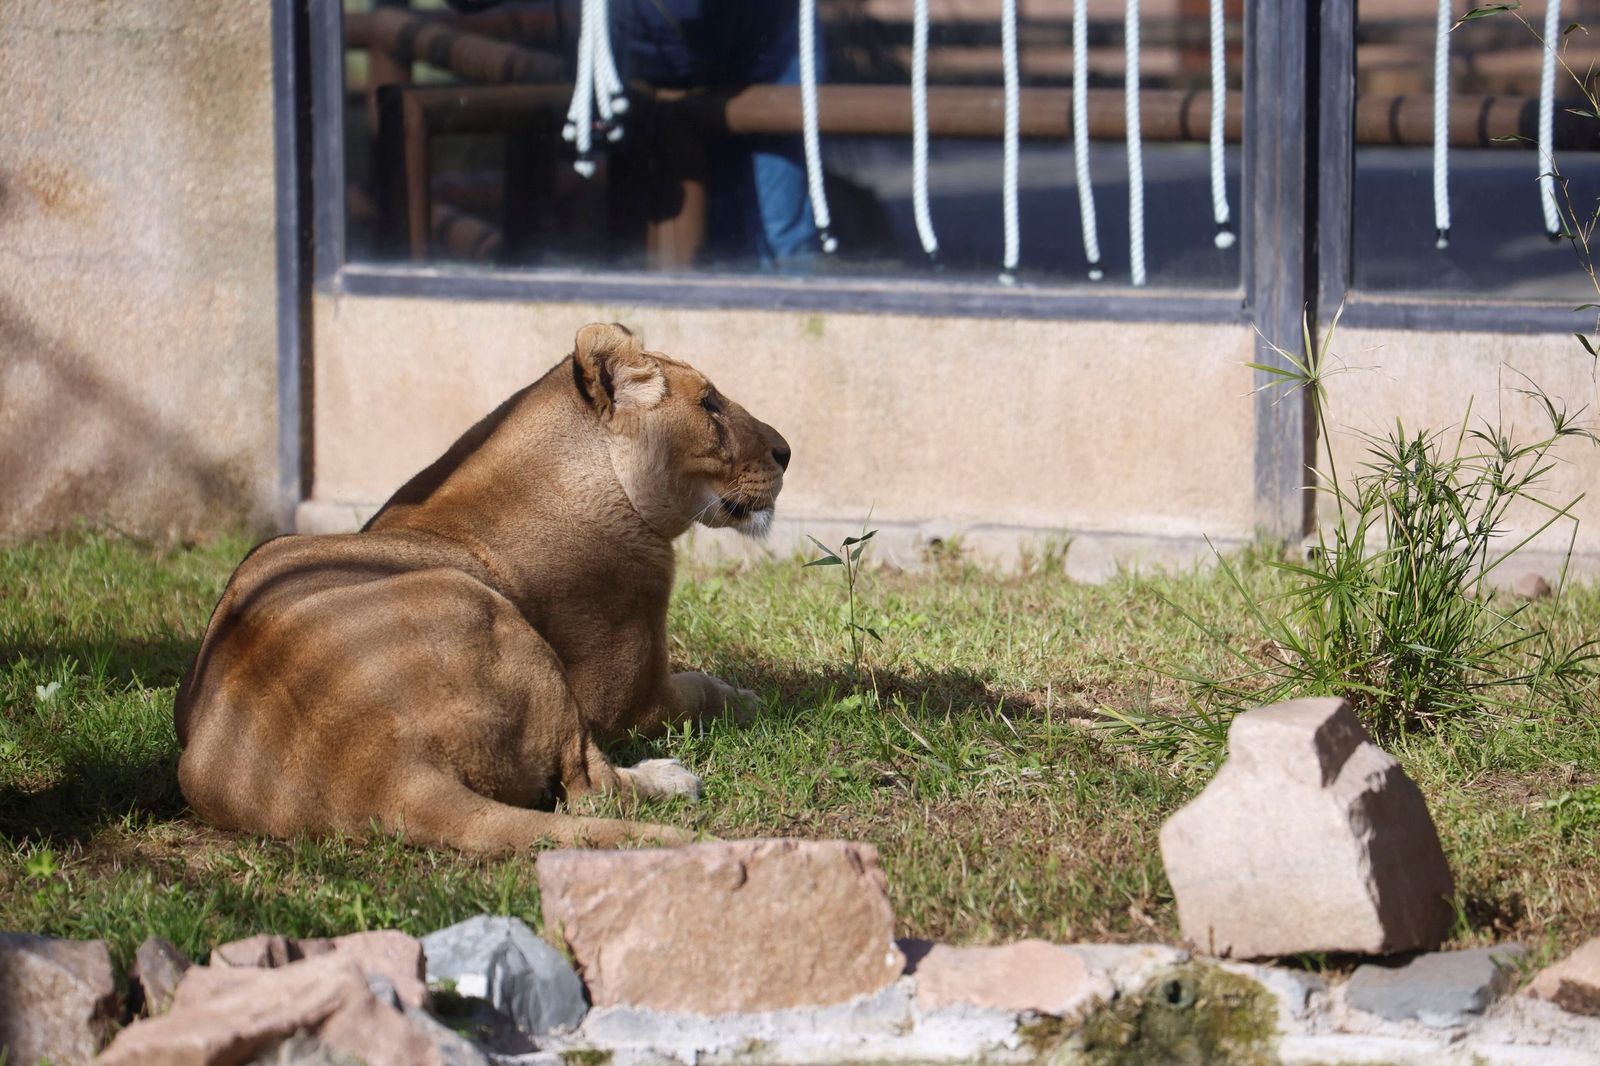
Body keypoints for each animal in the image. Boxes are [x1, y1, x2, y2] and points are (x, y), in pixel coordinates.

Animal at [174, 323, 789, 850]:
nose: (786, 451)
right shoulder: (628, 700)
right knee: (592, 792)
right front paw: (749, 698)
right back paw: (672, 778)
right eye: (709, 404)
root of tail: (386, 776)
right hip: (491, 615)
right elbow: (702, 689)